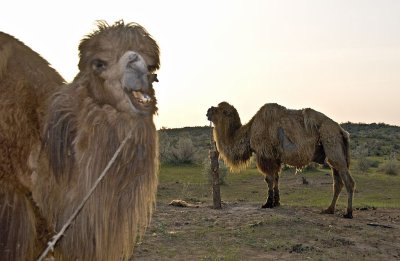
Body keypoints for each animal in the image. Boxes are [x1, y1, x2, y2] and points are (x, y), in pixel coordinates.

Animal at [208, 101, 354, 217]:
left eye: (221, 110)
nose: (208, 110)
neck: (249, 132)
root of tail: (341, 131)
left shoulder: (265, 155)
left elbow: (269, 179)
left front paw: (268, 203)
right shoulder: (276, 158)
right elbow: (276, 178)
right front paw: (277, 202)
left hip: (333, 146)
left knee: (348, 181)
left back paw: (348, 213)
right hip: (332, 155)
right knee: (337, 183)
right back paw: (329, 209)